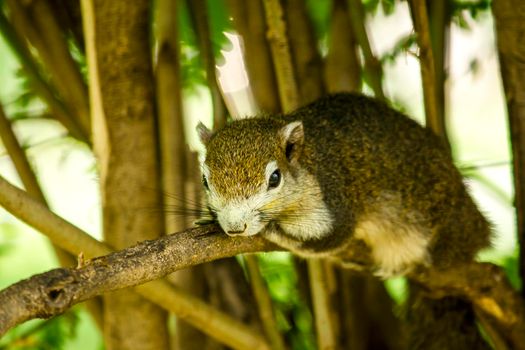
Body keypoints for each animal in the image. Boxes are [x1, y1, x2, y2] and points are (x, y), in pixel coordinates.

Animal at [195, 93, 488, 278]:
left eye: (275, 178)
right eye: (205, 180)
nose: (235, 228)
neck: (308, 160)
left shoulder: (334, 200)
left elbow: (323, 239)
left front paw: (270, 228)